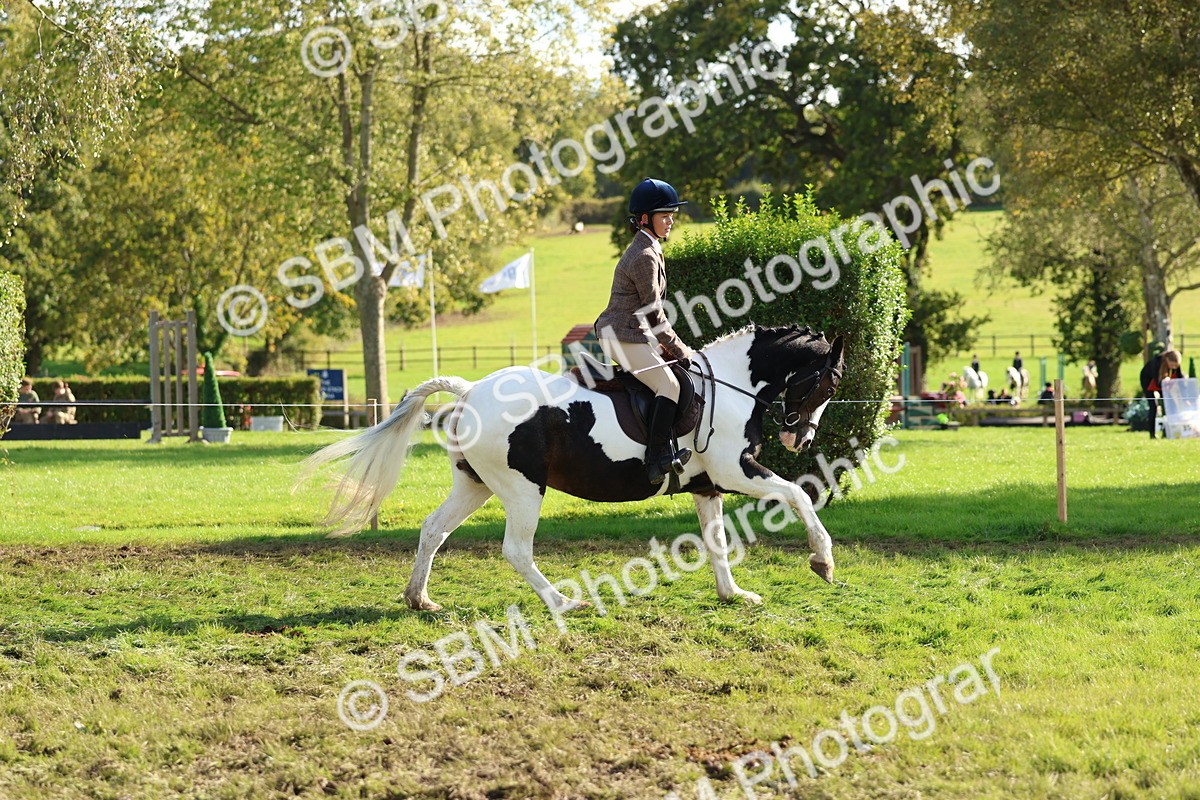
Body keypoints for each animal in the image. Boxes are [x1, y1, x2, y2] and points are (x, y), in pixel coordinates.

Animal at [302, 324, 845, 614]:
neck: (732, 385)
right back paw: (563, 603)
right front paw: (822, 562)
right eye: (828, 384)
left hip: (475, 485)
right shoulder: (736, 472)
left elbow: (715, 541)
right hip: (523, 489)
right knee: (516, 549)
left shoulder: (707, 485)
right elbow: (799, 494)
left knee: (434, 529)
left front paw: (732, 593)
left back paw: (420, 599)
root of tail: (470, 389)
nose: (801, 439)